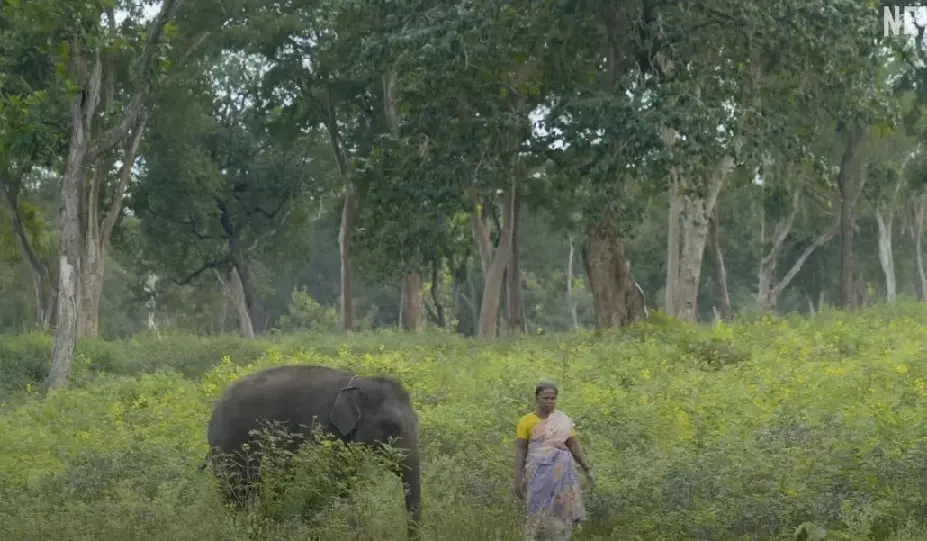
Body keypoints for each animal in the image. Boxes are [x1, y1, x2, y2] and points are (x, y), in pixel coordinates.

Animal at [204, 363, 421, 538]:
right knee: (236, 495)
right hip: (227, 451)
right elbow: (334, 483)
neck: (356, 382)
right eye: (392, 426)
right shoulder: (322, 429)